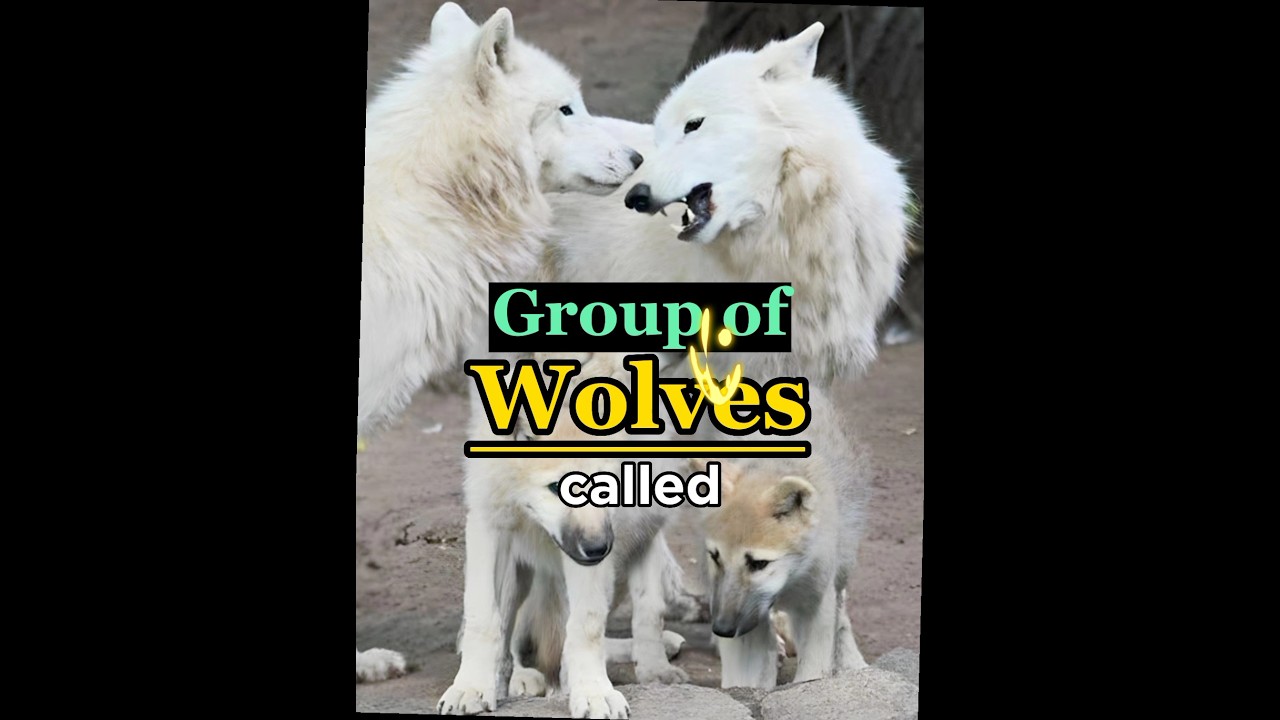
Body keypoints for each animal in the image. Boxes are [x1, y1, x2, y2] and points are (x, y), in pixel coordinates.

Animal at [438, 358, 691, 718]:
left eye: (608, 485)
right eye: (559, 487)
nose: (599, 548)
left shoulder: (636, 537)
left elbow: (611, 620)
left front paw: (599, 690)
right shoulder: (490, 525)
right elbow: (484, 619)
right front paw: (471, 687)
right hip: (520, 576)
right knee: (509, 634)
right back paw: (519, 677)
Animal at [696, 390, 870, 689]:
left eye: (758, 563)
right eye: (716, 557)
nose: (722, 629)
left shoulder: (815, 606)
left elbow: (812, 672)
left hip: (842, 569)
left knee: (842, 617)